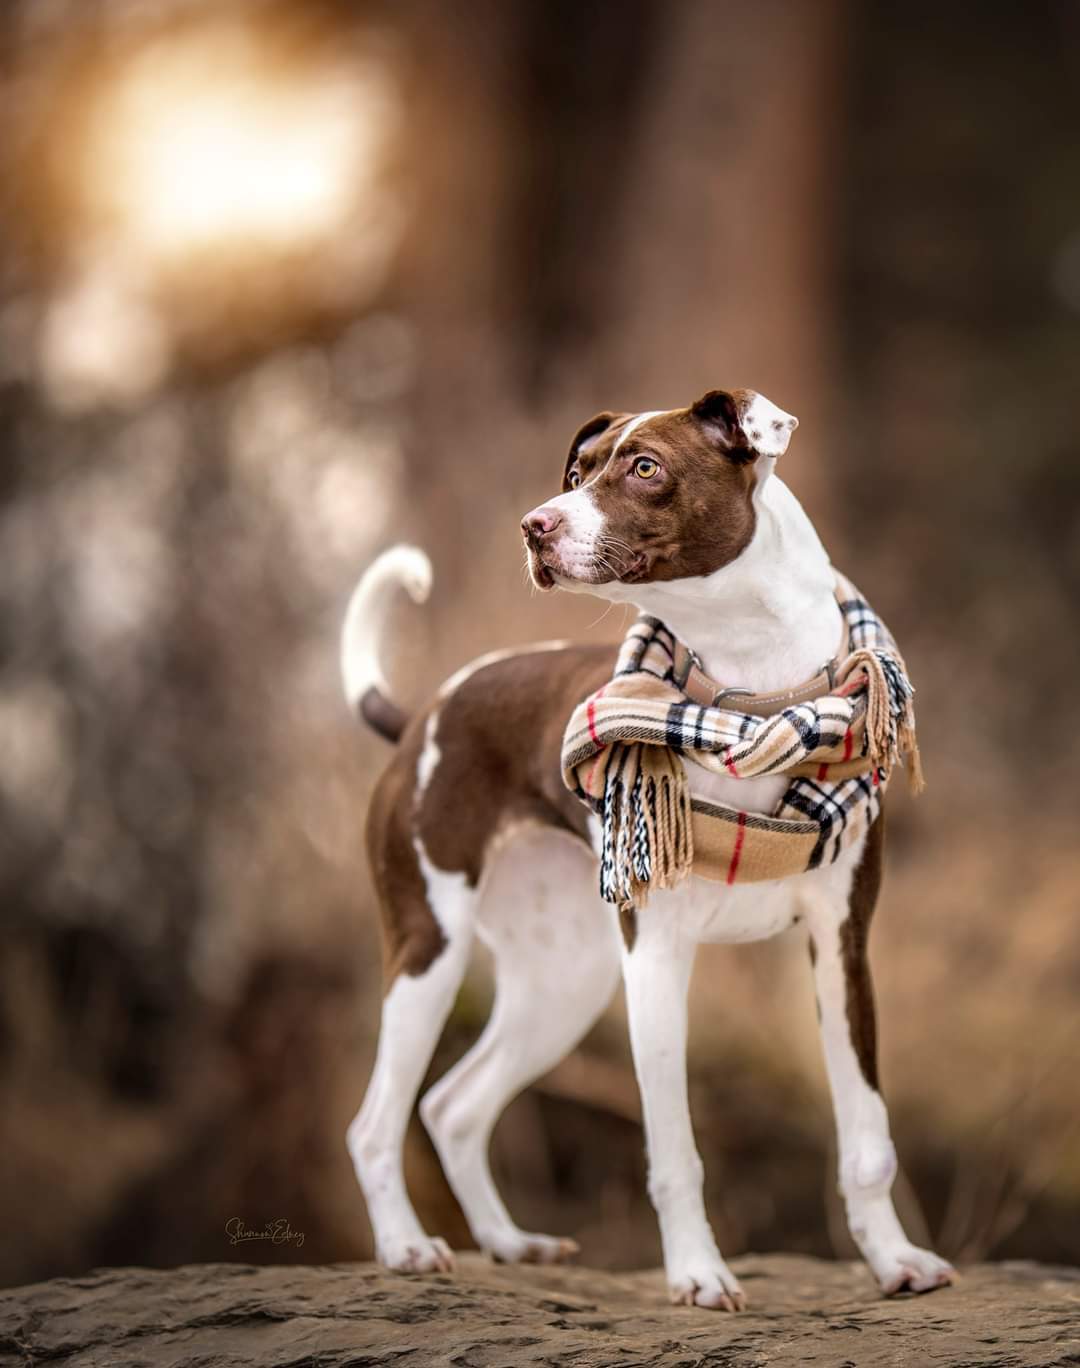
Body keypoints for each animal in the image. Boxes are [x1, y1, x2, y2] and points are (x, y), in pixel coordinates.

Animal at [339, 391, 952, 1307]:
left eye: (645, 468)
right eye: (575, 472)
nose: (535, 525)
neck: (750, 700)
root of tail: (425, 715)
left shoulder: (842, 949)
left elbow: (867, 1136)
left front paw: (893, 1261)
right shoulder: (659, 960)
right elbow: (674, 1155)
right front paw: (698, 1273)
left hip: (564, 981)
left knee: (453, 1107)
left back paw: (508, 1242)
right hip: (429, 955)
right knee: (376, 1124)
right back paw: (407, 1246)